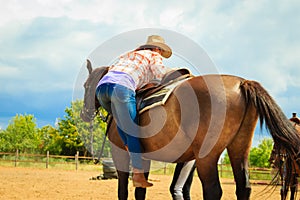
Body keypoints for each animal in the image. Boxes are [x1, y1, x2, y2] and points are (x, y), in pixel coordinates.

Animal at [80, 60, 300, 199]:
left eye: (85, 85)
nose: (84, 113)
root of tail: (242, 83)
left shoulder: (121, 154)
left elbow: (123, 191)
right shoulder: (145, 157)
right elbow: (140, 191)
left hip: (207, 157)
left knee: (213, 191)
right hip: (239, 147)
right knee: (243, 188)